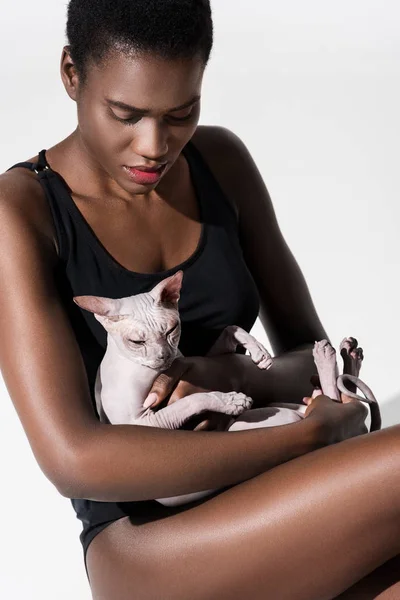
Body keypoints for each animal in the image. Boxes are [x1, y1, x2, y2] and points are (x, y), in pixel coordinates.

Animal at [72, 270, 382, 506]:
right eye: (137, 342)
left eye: (172, 331)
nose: (164, 357)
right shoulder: (142, 424)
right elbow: (190, 401)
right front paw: (230, 401)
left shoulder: (196, 358)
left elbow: (229, 329)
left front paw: (258, 352)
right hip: (258, 426)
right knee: (325, 403)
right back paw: (330, 360)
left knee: (331, 397)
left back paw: (344, 358)